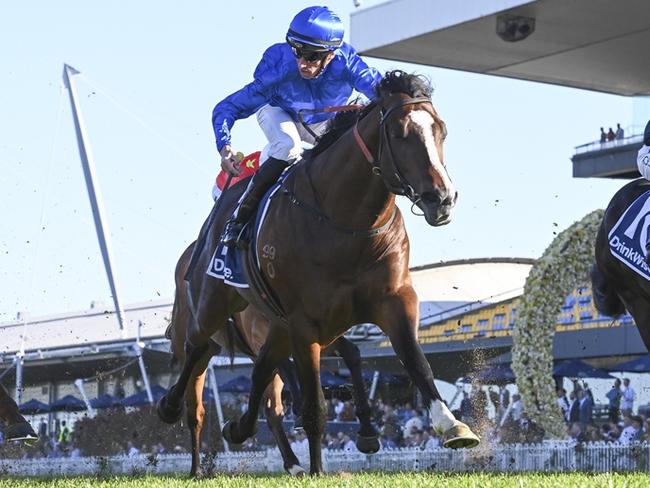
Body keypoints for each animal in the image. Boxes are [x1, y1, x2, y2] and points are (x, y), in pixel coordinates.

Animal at [165, 240, 380, 476]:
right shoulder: (263, 335)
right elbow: (290, 367)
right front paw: (301, 408)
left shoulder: (310, 330)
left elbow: (351, 353)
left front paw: (367, 430)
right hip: (190, 335)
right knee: (194, 398)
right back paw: (192, 460)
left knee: (271, 409)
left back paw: (292, 463)